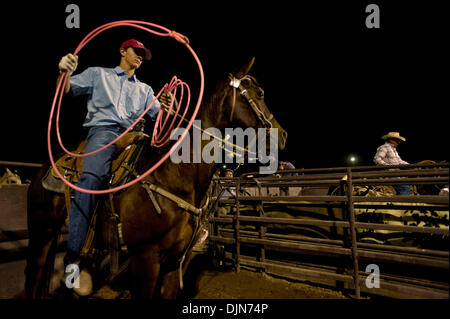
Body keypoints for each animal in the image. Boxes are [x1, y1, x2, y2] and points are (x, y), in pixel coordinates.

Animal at [25, 58, 288, 298]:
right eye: (260, 93)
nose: (283, 134)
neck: (174, 175)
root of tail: (44, 169)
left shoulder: (176, 259)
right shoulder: (145, 257)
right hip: (41, 232)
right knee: (34, 276)